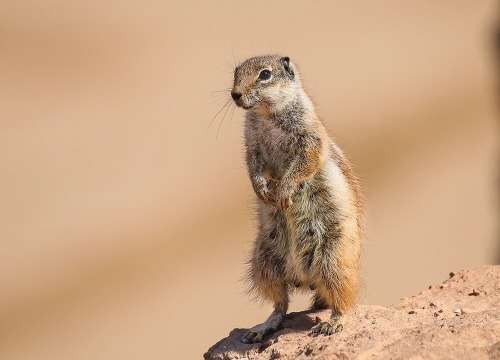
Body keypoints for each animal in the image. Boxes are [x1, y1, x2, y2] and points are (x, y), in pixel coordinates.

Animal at [230, 55, 364, 344]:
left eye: (265, 74)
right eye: (235, 73)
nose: (235, 94)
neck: (267, 115)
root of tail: (304, 278)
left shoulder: (308, 137)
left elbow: (304, 162)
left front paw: (283, 193)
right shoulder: (251, 145)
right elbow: (252, 166)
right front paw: (262, 190)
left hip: (333, 257)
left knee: (343, 297)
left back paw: (333, 323)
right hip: (264, 261)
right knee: (280, 302)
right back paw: (263, 328)